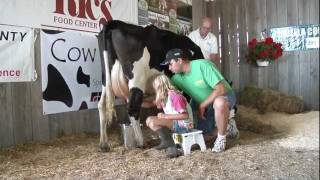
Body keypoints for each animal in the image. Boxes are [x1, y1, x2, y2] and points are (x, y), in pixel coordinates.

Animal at [96, 19, 204, 152]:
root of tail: (116, 23)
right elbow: (186, 106)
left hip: (105, 78)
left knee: (101, 105)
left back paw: (104, 144)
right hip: (137, 78)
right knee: (132, 109)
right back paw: (141, 142)